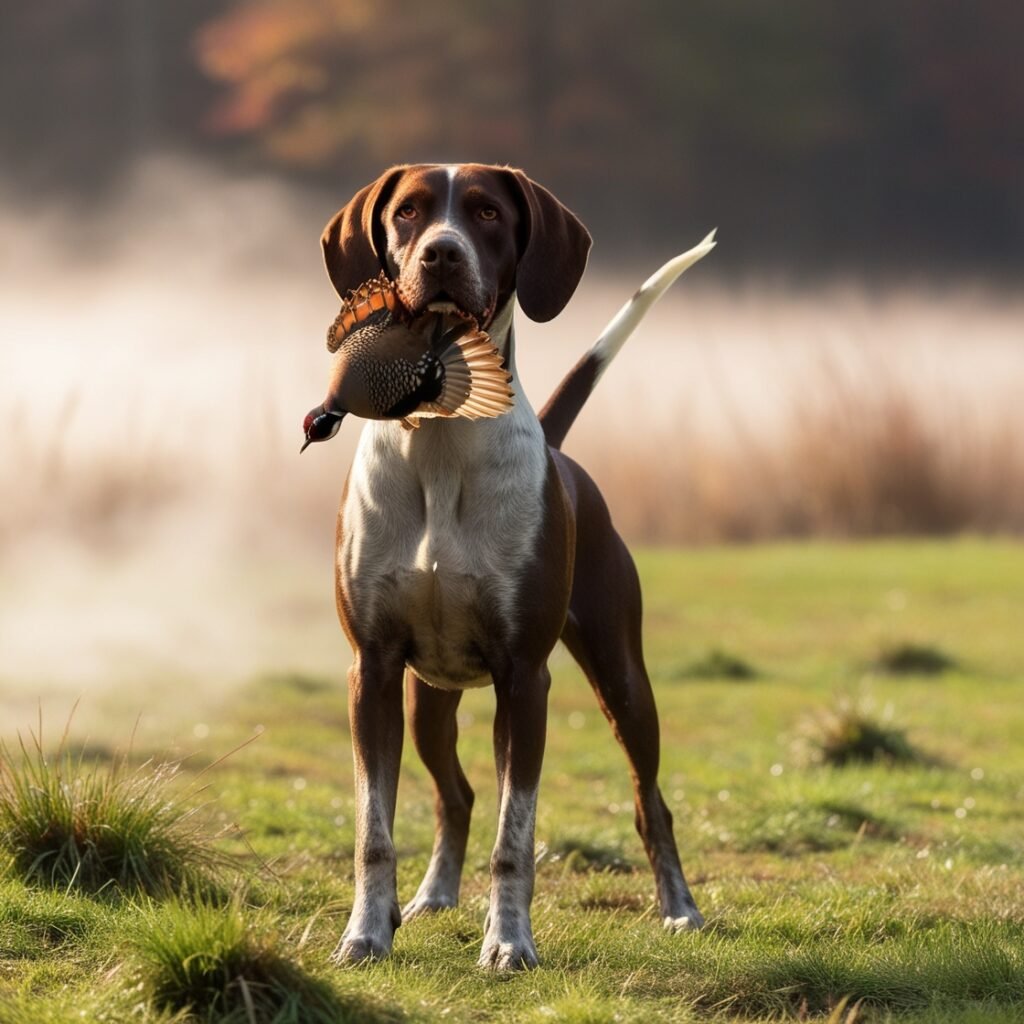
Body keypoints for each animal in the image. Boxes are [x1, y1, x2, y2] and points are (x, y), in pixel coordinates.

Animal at [317, 163, 712, 970]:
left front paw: (509, 943)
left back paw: (680, 907)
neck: (440, 440)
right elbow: (375, 831)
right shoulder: (371, 671)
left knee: (649, 801)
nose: (441, 252)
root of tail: (564, 458)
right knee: (457, 794)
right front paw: (365, 934)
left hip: (624, 683)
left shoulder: (524, 679)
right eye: (407, 212)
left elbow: (516, 835)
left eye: (487, 213)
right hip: (426, 700)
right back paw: (430, 897)